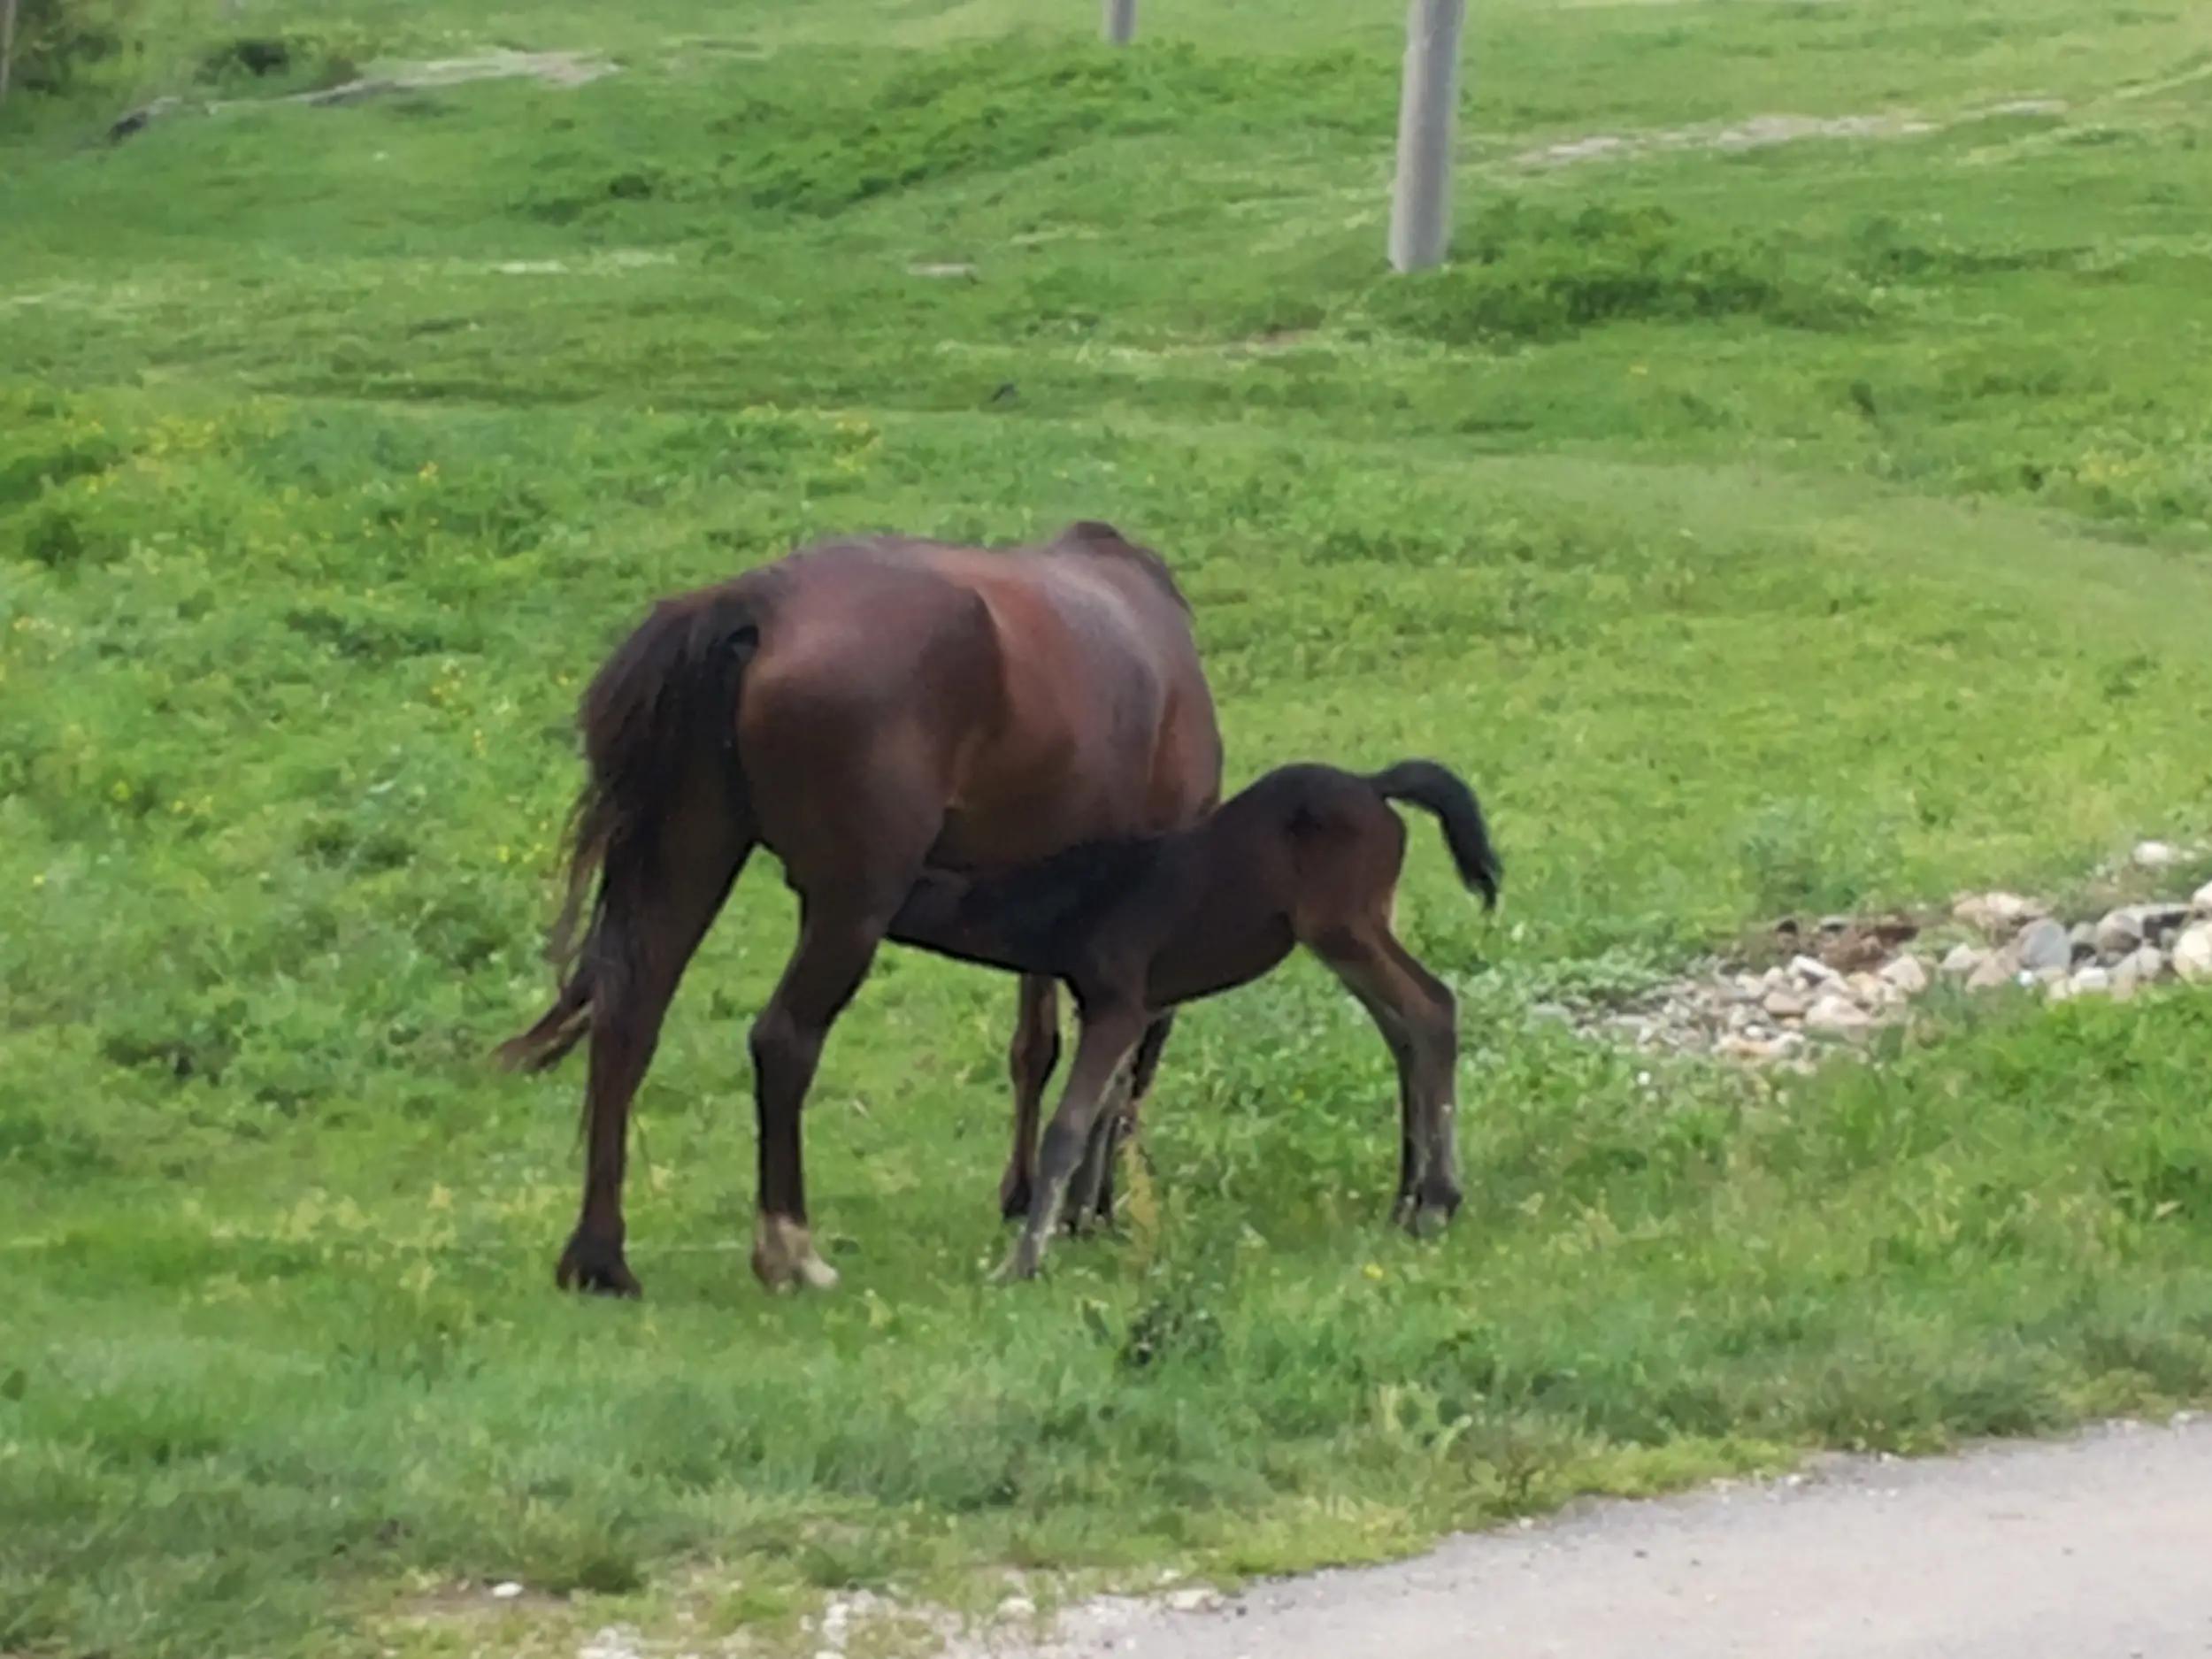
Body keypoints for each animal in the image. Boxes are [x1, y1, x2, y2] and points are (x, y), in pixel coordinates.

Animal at [504, 519, 1230, 1301]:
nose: (1097, 1211)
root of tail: (755, 603)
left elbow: (1036, 1047)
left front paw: (1028, 1192)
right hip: (851, 906)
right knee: (783, 1041)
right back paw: (789, 1247)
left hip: (689, 856)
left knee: (627, 1024)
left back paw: (600, 1258)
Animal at [885, 761, 1504, 1283]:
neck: (1076, 902)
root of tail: (1374, 785)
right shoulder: (1121, 1012)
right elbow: (1109, 1108)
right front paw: (1083, 1225)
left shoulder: (1120, 1006)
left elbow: (1069, 1126)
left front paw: (1023, 1262)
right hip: (1355, 933)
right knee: (1403, 1030)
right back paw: (1407, 1201)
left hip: (1344, 927)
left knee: (1431, 1008)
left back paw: (1437, 1202)